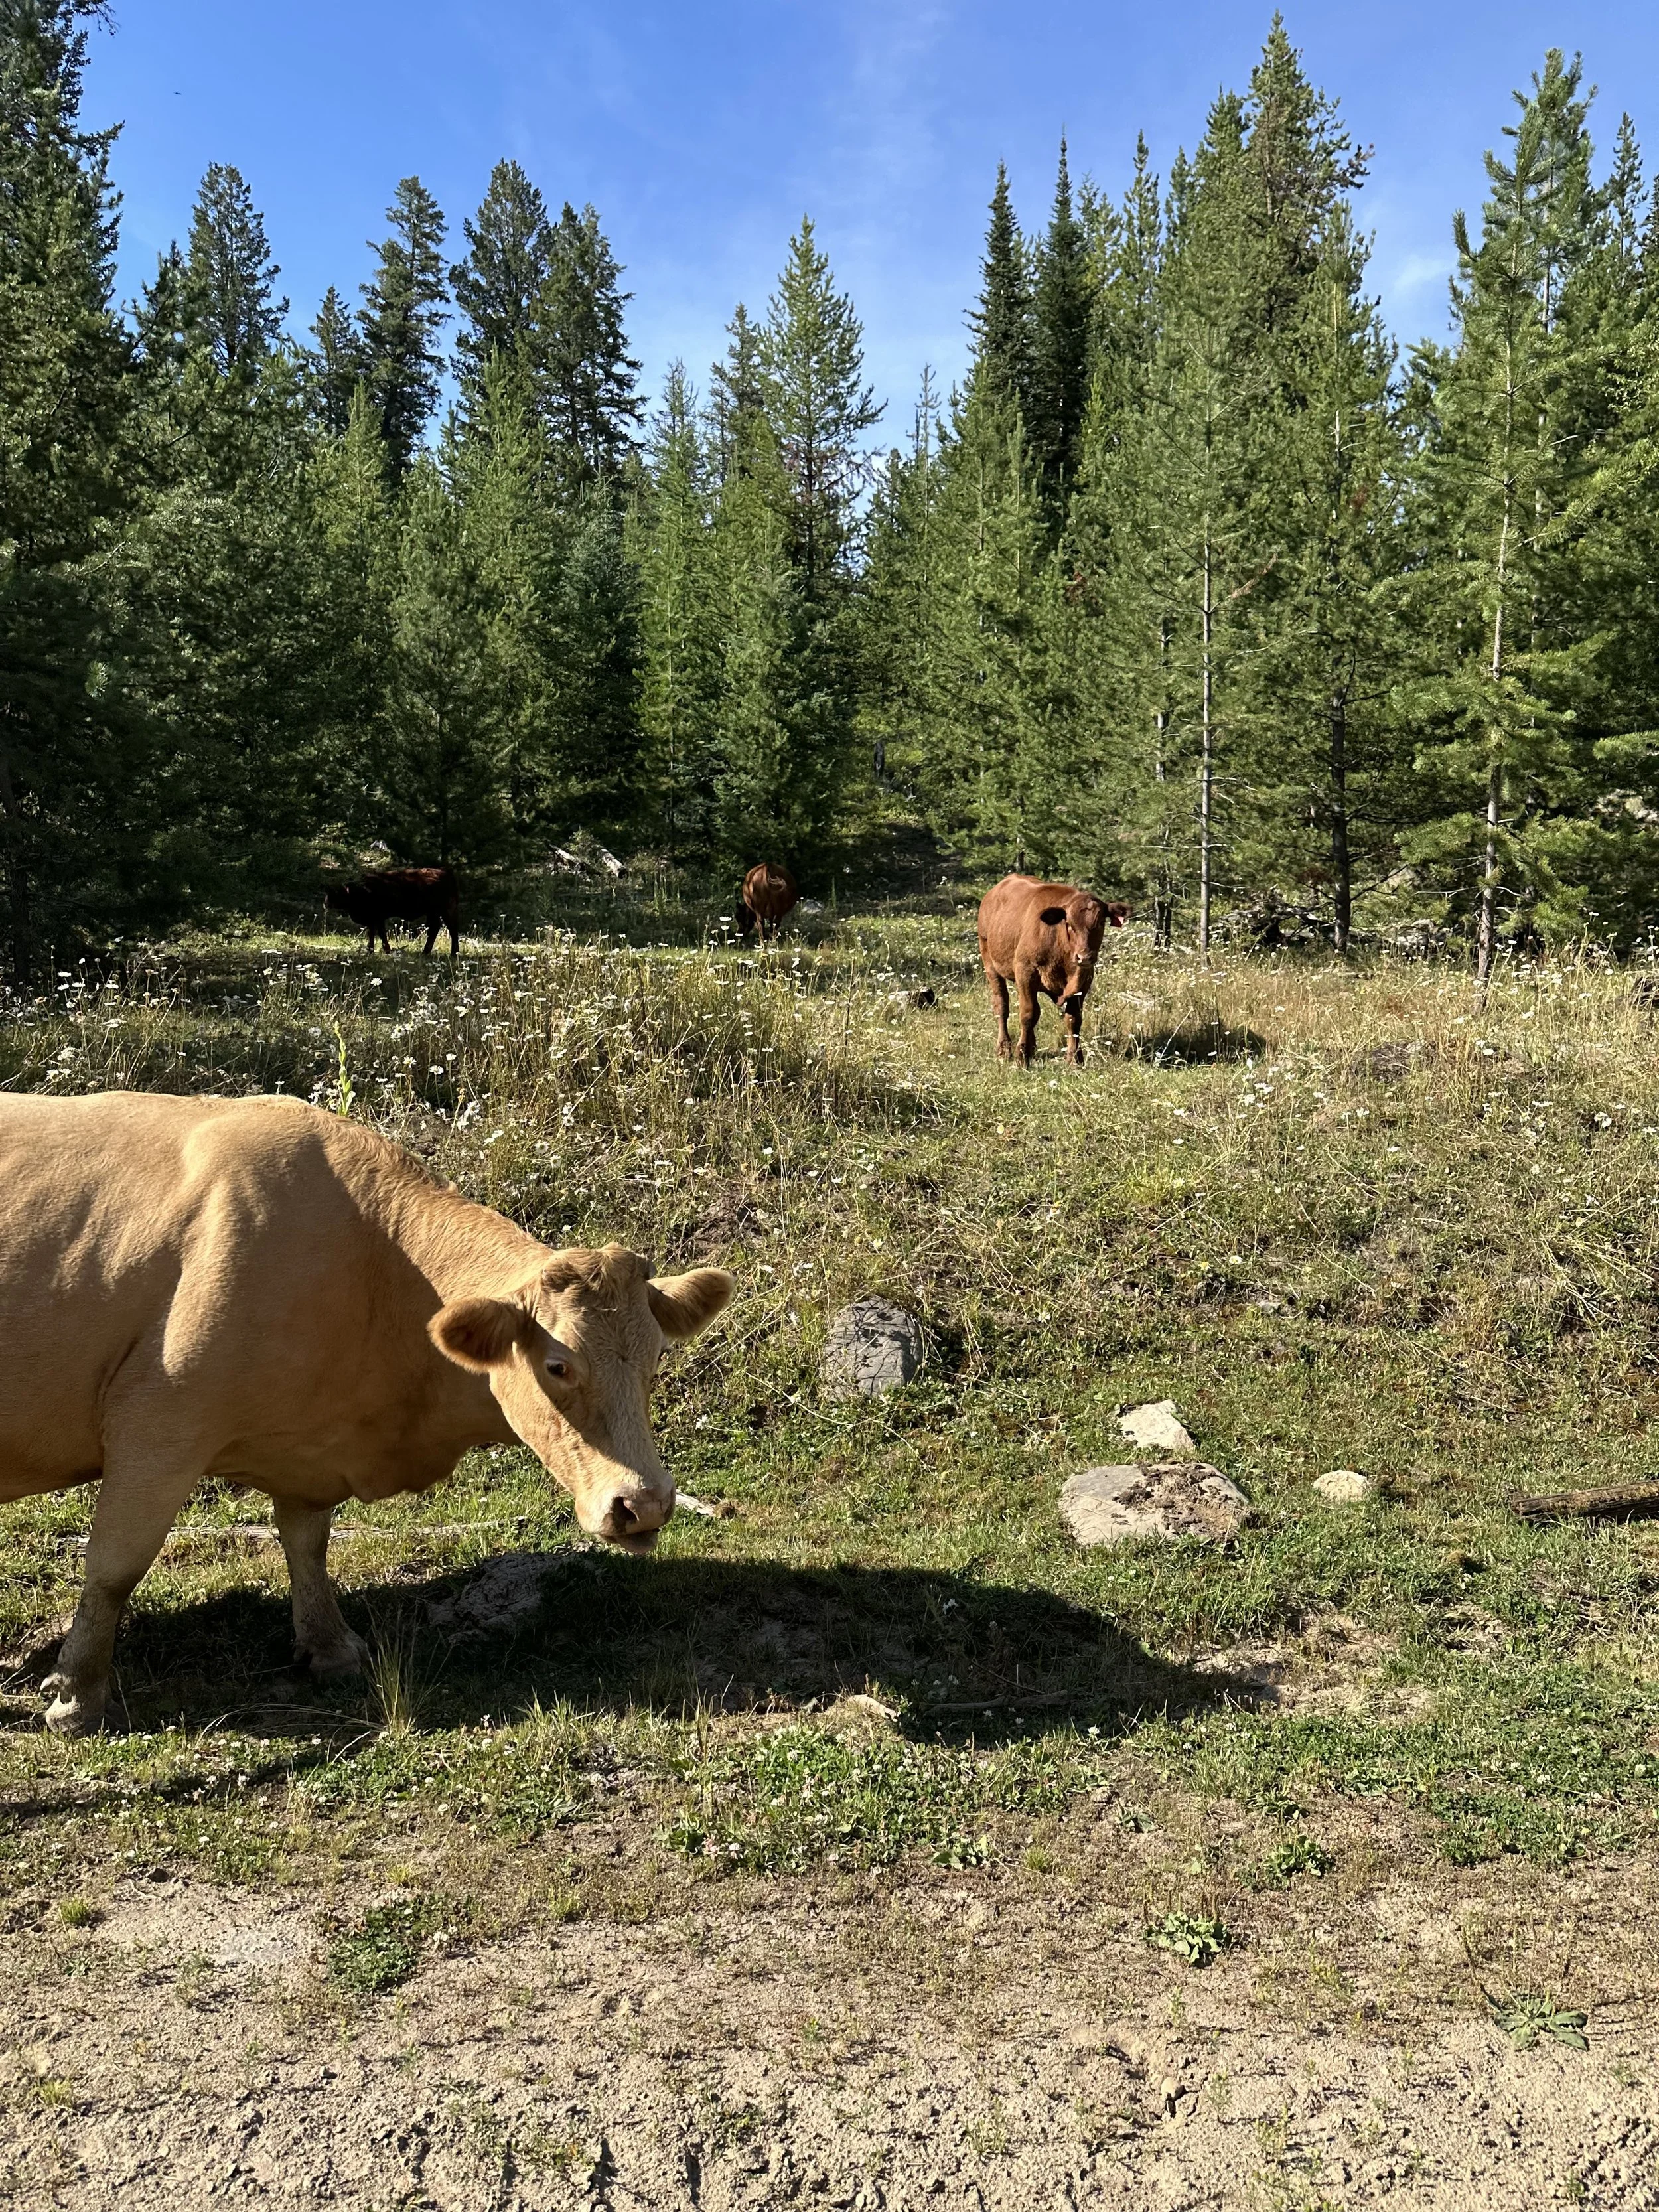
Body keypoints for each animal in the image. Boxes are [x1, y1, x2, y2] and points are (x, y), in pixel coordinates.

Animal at [0, 1091, 733, 1736]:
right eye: (558, 1366)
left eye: (655, 1356)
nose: (645, 1504)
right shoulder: (158, 1423)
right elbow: (114, 1566)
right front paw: (77, 1697)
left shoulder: (310, 1443)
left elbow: (307, 1542)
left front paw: (329, 1647)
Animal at [325, 866, 460, 956]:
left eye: (336, 893)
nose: (326, 903)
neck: (360, 890)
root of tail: (447, 875)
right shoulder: (374, 920)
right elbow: (375, 933)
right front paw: (376, 950)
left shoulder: (377, 918)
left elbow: (379, 933)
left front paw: (380, 950)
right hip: (433, 913)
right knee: (435, 928)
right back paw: (426, 952)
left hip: (444, 910)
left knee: (451, 928)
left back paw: (453, 953)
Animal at [977, 874, 1130, 1067]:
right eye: (1070, 924)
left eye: (1101, 922)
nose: (1085, 957)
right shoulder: (1025, 973)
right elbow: (1028, 1014)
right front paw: (1022, 1057)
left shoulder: (1083, 981)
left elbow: (1073, 1019)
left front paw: (1075, 1059)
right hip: (990, 962)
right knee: (1001, 1005)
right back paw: (1005, 1048)